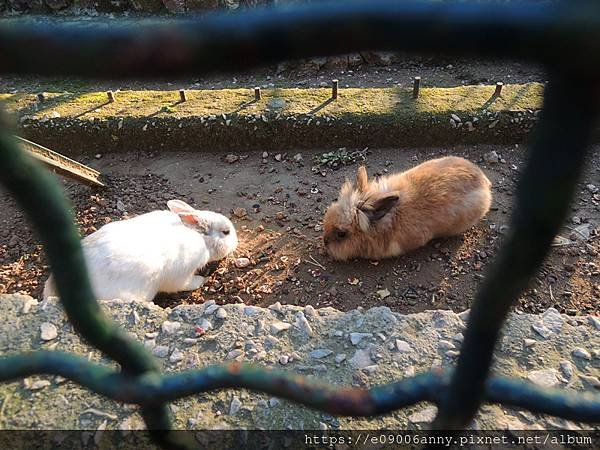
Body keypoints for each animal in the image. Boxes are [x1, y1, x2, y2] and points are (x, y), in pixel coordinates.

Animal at [42, 200, 237, 302]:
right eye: (226, 232)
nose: (236, 242)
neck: (200, 238)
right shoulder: (181, 274)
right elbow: (184, 284)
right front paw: (201, 280)